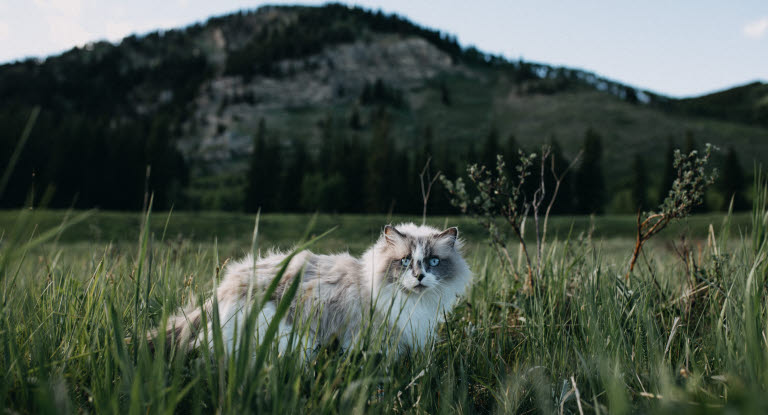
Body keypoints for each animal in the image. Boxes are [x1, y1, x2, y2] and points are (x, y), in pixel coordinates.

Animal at [149, 224, 472, 358]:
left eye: (433, 261)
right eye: (404, 261)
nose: (419, 277)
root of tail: (221, 290)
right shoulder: (369, 340)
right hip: (289, 339)